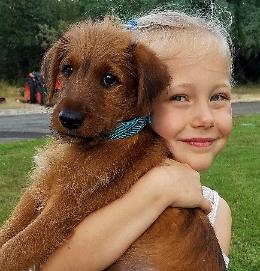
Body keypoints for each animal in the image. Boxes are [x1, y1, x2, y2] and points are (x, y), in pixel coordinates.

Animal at [0, 20, 225, 270]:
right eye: (67, 70)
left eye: (110, 79)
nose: (68, 119)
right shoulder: (39, 190)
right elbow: (9, 229)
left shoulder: (62, 211)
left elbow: (15, 249)